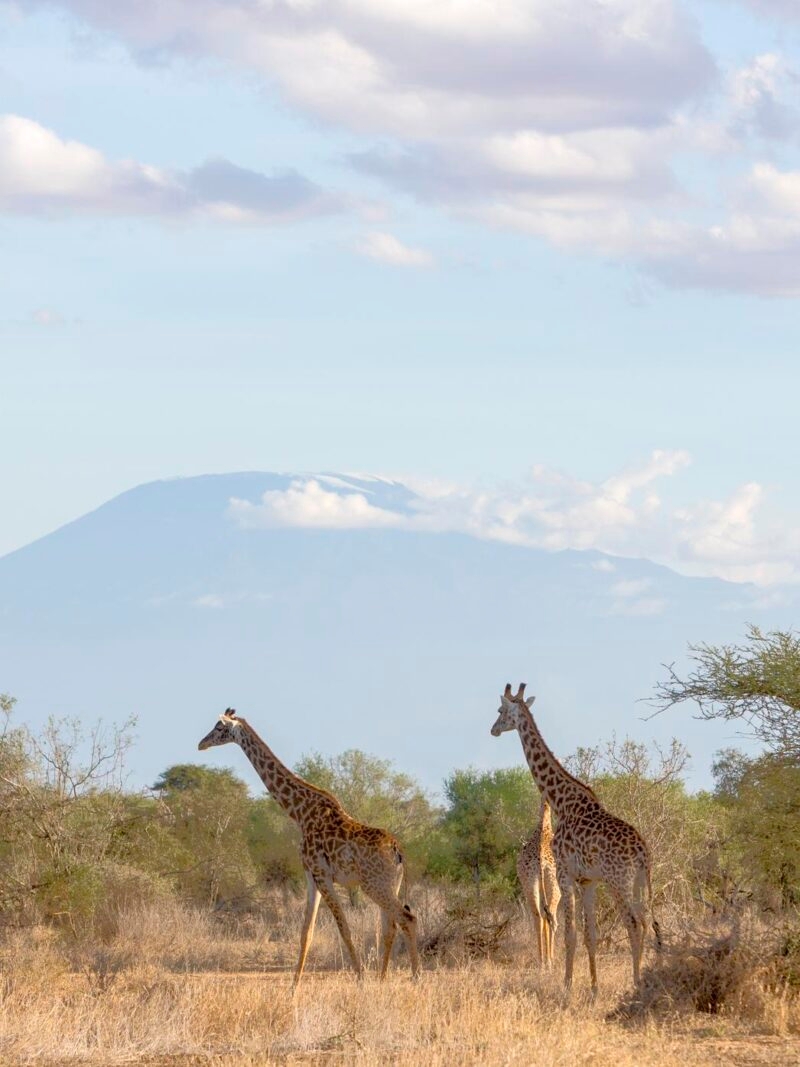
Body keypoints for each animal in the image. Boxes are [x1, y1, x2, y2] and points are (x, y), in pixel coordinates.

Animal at [198, 708, 420, 990]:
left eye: (219, 727)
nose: (201, 744)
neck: (300, 812)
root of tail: (397, 852)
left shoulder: (322, 874)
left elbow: (343, 928)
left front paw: (360, 979)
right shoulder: (310, 875)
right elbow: (307, 932)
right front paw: (293, 988)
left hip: (374, 885)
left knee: (407, 919)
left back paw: (416, 977)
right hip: (390, 885)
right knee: (390, 926)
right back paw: (383, 980)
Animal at [517, 796, 561, 967]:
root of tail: (541, 861)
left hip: (529, 886)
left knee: (539, 918)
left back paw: (542, 961)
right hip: (554, 887)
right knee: (552, 919)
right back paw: (550, 960)